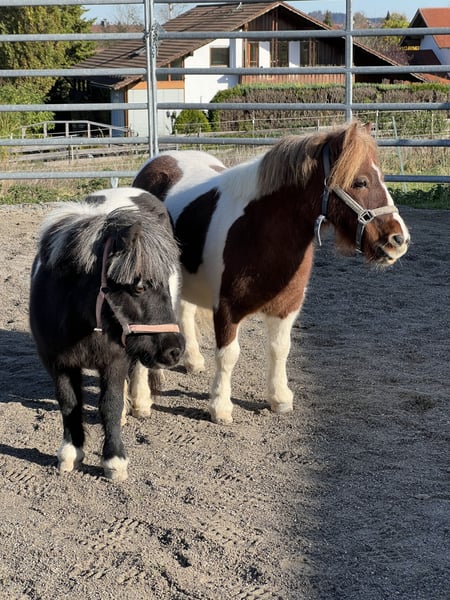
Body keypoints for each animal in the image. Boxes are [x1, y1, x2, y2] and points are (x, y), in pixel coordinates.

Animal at [29, 187, 185, 481]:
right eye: (138, 287)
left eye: (164, 285)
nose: (175, 350)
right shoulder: (58, 363)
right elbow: (69, 403)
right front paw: (71, 453)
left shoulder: (115, 360)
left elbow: (110, 404)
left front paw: (114, 461)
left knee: (140, 369)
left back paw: (141, 403)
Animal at [133, 121, 410, 425]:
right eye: (360, 182)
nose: (399, 240)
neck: (260, 229)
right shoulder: (226, 308)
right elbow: (228, 355)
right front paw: (220, 407)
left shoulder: (287, 306)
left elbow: (280, 349)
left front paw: (279, 398)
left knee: (184, 313)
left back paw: (193, 361)